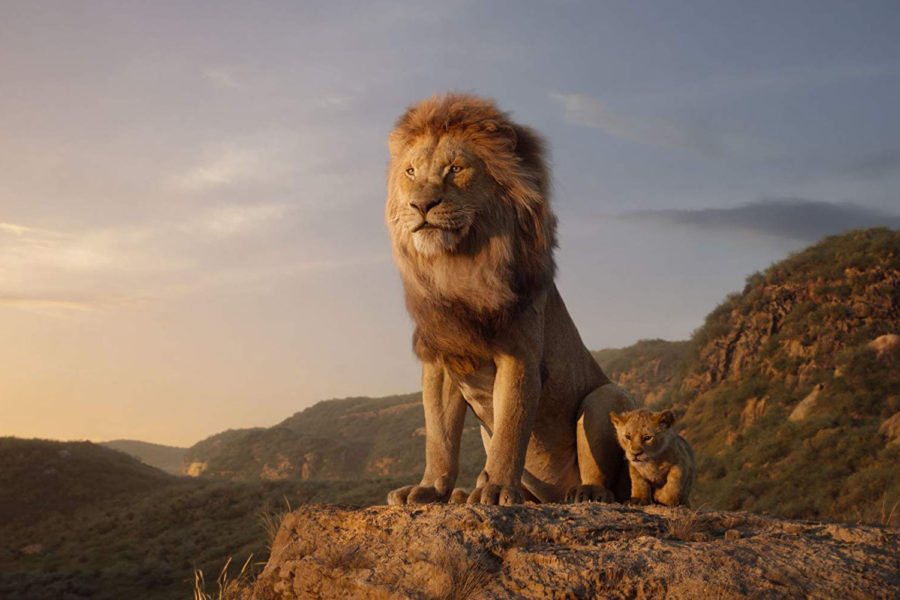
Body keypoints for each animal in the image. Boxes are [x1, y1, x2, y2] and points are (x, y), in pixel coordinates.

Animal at [384, 93, 636, 506]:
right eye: (410, 172)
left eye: (455, 169)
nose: (421, 205)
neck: (458, 267)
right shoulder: (441, 361)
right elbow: (439, 437)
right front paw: (429, 488)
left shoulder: (519, 355)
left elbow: (511, 429)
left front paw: (498, 488)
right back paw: (464, 494)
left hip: (606, 397)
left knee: (606, 478)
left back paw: (585, 493)